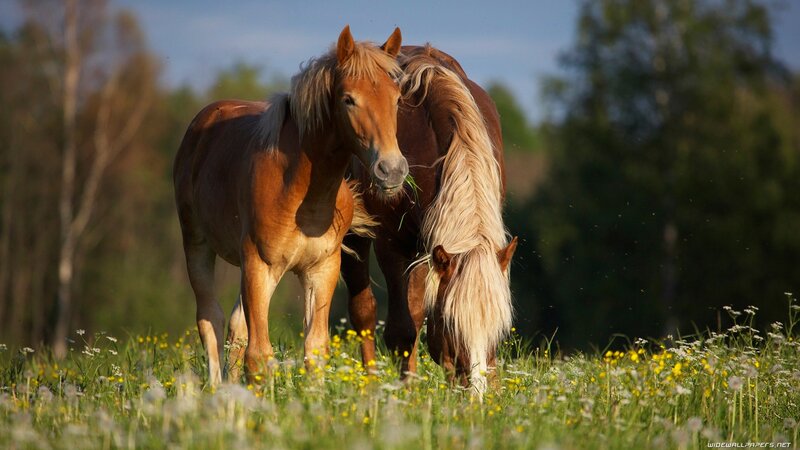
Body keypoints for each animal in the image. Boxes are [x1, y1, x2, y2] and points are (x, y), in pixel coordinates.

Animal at [173, 26, 407, 385]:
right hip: (199, 245)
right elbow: (258, 355)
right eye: (348, 99)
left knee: (235, 327)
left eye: (397, 98)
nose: (392, 169)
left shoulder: (321, 269)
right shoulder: (259, 264)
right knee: (209, 319)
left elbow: (315, 349)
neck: (301, 192)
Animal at [342, 45, 517, 393]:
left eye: (500, 328)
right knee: (364, 312)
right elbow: (402, 331)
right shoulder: (393, 244)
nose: (476, 394)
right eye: (453, 324)